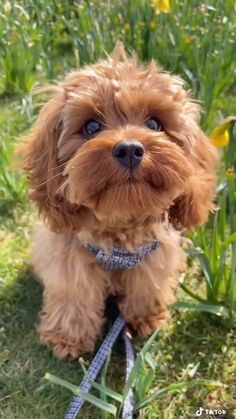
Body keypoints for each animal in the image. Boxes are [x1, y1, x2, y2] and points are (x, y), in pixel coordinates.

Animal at [21, 48, 217, 358]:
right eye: (91, 126)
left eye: (154, 124)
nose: (129, 149)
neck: (118, 234)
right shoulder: (69, 258)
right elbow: (74, 294)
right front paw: (67, 338)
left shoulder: (153, 255)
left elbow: (147, 285)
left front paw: (147, 317)